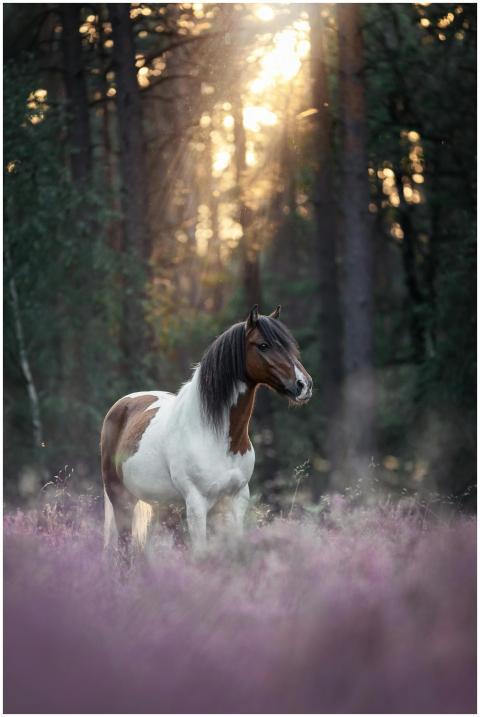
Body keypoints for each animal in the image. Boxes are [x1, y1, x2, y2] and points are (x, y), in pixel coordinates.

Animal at [100, 304, 313, 555]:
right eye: (263, 345)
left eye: (289, 345)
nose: (304, 385)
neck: (216, 436)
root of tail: (123, 403)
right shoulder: (196, 505)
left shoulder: (235, 502)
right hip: (121, 499)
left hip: (157, 505)